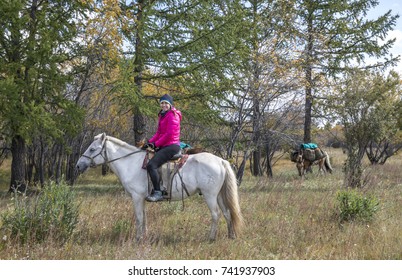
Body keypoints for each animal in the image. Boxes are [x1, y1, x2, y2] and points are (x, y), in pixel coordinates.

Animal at [76, 133, 243, 241]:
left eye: (92, 149)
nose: (78, 166)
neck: (131, 163)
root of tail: (221, 161)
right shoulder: (142, 198)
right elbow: (144, 217)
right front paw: (144, 237)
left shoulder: (136, 197)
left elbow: (139, 217)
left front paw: (137, 239)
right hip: (219, 195)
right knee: (227, 213)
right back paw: (231, 236)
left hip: (210, 195)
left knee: (216, 214)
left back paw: (211, 238)